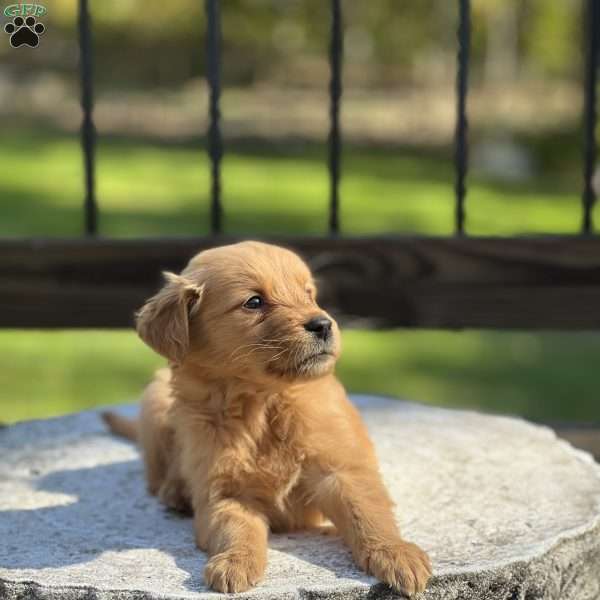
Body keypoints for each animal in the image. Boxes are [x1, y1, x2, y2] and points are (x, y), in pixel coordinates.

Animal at [104, 243, 432, 596]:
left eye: (308, 293)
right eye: (254, 302)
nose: (323, 324)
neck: (262, 403)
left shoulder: (340, 470)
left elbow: (366, 512)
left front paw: (396, 553)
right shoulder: (224, 492)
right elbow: (237, 529)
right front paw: (235, 561)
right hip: (155, 399)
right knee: (155, 477)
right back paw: (175, 491)